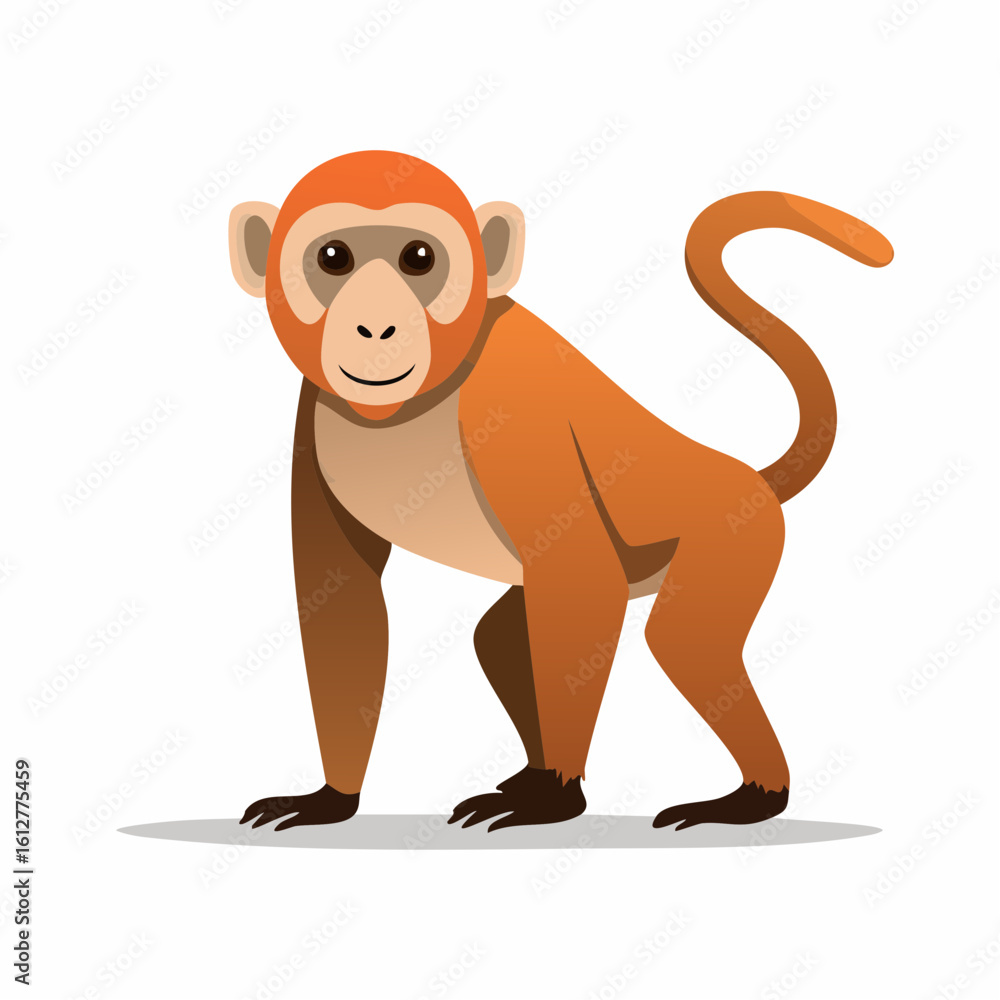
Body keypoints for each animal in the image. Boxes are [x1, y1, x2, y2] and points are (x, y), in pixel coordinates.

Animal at [230, 150, 892, 833]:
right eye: (333, 257)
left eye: (419, 257)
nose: (376, 327)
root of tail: (744, 475)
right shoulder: (311, 412)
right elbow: (341, 599)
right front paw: (332, 799)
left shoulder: (514, 407)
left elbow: (581, 575)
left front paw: (557, 799)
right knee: (501, 638)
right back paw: (532, 770)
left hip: (735, 533)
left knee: (679, 644)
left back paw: (751, 797)